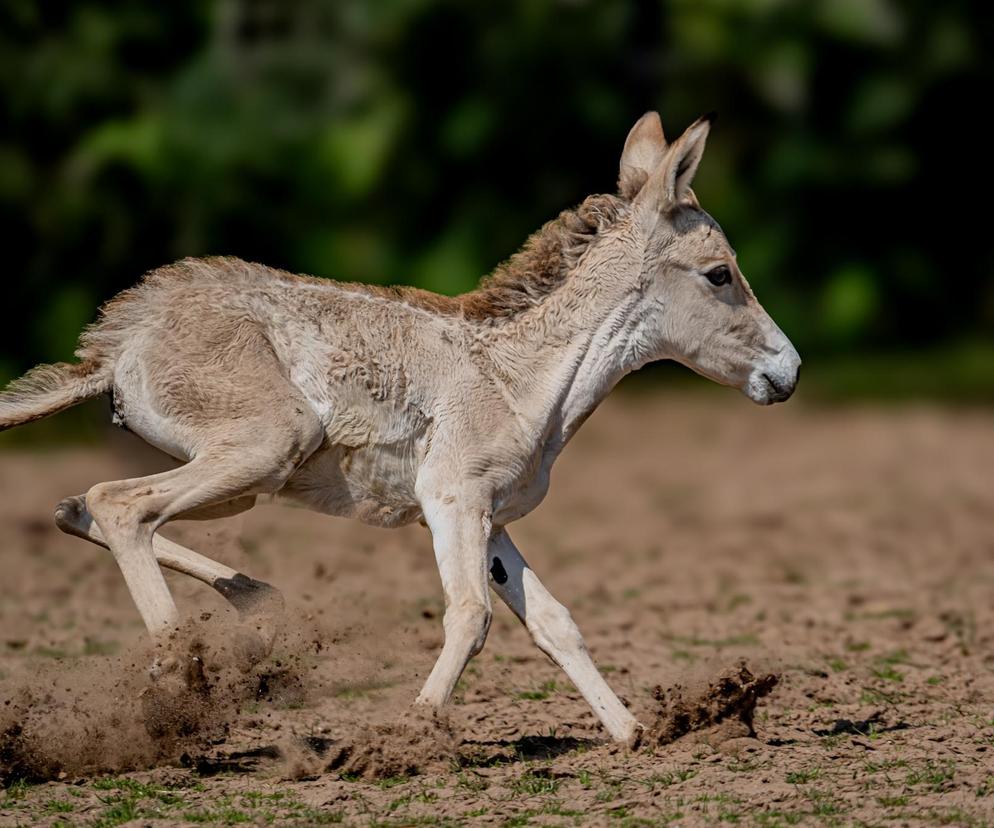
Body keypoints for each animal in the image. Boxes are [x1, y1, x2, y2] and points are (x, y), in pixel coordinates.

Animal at [0, 113, 800, 748]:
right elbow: (472, 616)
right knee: (120, 504)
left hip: (240, 479)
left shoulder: (487, 516)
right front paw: (404, 742)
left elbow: (552, 620)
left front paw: (636, 733)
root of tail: (116, 342)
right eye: (720, 274)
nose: (789, 370)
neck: (518, 377)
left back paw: (249, 608)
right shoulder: (453, 500)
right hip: (267, 449)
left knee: (80, 506)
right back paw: (182, 689)